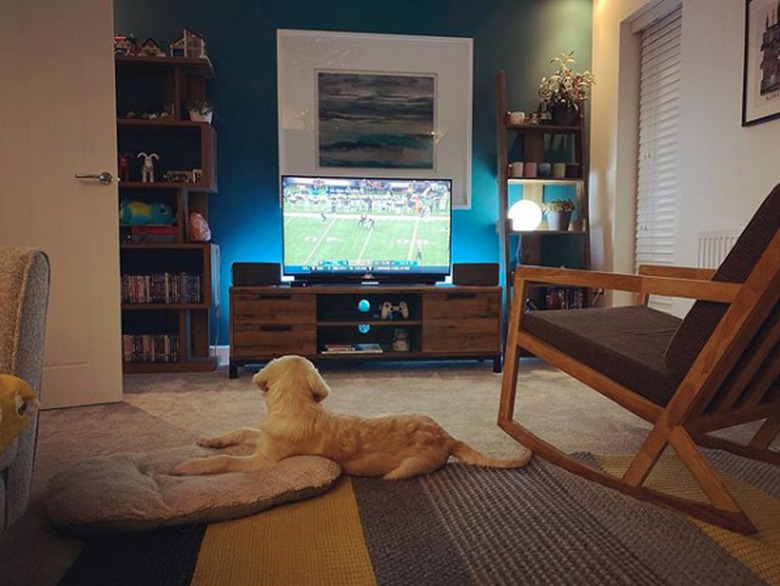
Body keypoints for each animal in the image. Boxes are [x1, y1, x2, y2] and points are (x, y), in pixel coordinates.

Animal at [174, 354, 532, 476]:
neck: (295, 407)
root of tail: (448, 436)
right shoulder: (263, 437)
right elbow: (240, 430)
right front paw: (210, 439)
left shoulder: (265, 461)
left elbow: (226, 461)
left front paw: (189, 466)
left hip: (408, 467)